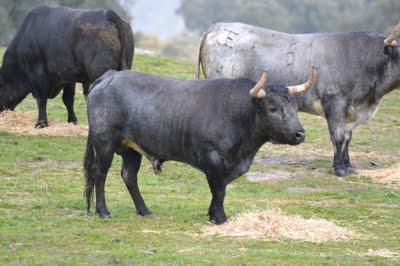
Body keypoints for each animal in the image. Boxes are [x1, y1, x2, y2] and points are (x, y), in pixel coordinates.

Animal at [0, 5, 134, 128]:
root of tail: (106, 13)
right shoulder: (68, 77)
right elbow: (68, 99)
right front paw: (72, 121)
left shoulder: (37, 74)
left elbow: (41, 99)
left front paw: (41, 123)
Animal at [83, 67, 318, 224]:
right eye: (273, 108)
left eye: (294, 107)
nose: (299, 134)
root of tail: (110, 75)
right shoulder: (213, 158)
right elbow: (219, 190)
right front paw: (221, 218)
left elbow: (220, 189)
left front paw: (213, 214)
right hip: (105, 143)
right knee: (99, 173)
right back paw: (103, 211)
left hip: (132, 148)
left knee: (129, 175)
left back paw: (144, 210)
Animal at [198, 21, 400, 177]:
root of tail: (217, 27)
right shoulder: (334, 103)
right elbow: (338, 137)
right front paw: (340, 169)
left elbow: (347, 138)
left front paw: (348, 166)